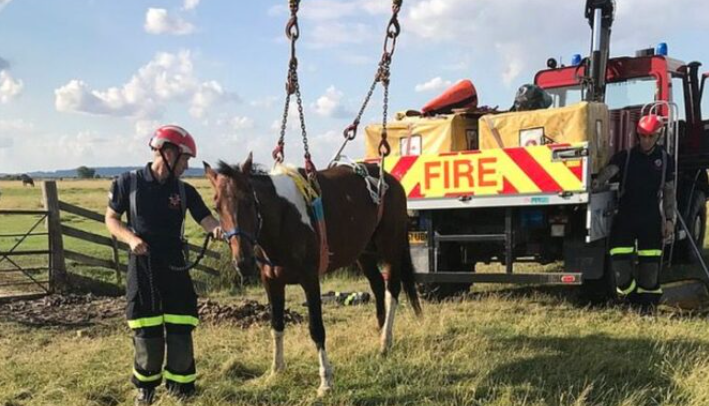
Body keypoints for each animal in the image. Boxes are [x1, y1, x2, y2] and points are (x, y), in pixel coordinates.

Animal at [205, 154, 424, 394]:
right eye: (217, 206)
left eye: (249, 201)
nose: (243, 262)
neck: (284, 218)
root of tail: (391, 180)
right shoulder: (271, 282)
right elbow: (276, 326)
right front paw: (276, 370)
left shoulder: (310, 280)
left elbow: (316, 329)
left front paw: (325, 380)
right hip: (364, 252)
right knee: (376, 285)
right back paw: (380, 331)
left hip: (390, 247)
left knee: (392, 289)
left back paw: (385, 341)